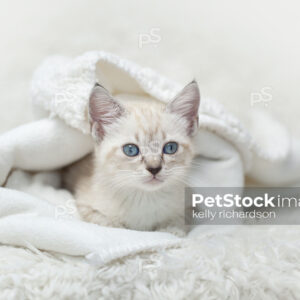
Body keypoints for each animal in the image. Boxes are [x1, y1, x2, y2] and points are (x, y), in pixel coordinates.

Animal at [63, 81, 199, 233]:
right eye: (130, 150)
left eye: (170, 148)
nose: (154, 168)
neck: (145, 198)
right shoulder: (86, 204)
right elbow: (108, 223)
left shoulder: (188, 207)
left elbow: (176, 223)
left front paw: (169, 230)